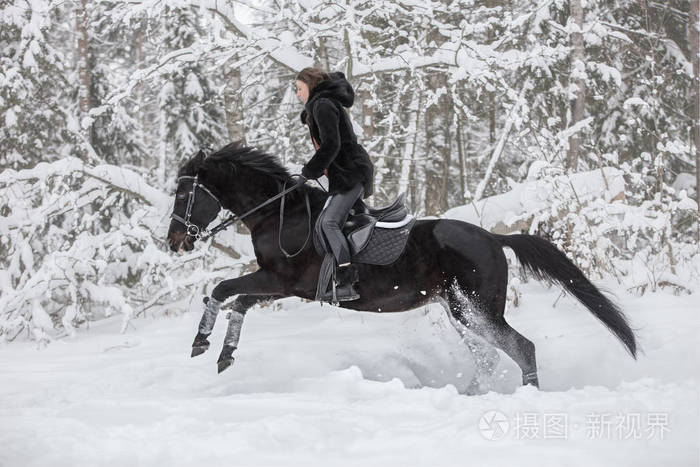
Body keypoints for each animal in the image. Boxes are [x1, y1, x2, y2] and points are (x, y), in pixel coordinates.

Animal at [166, 142, 637, 392]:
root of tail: (492, 237)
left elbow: (223, 290)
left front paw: (201, 343)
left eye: (185, 195)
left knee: (521, 347)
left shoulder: (280, 280)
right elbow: (238, 301)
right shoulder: (282, 287)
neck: (279, 214)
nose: (174, 242)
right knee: (488, 355)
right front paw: (223, 354)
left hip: (475, 307)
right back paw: (470, 395)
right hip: (460, 311)